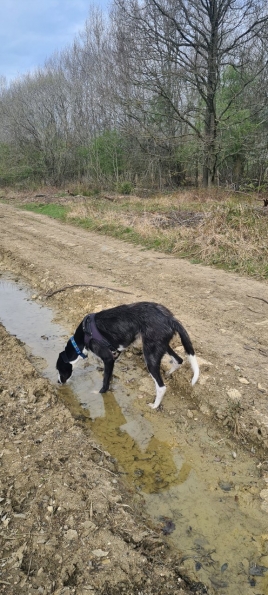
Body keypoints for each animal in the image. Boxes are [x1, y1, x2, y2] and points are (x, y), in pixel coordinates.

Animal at [56, 302, 199, 410]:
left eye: (58, 369)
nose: (58, 382)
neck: (83, 338)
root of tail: (170, 318)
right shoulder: (113, 357)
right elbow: (108, 376)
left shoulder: (108, 358)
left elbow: (104, 381)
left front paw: (100, 392)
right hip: (161, 345)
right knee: (179, 360)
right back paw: (169, 373)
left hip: (150, 355)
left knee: (161, 387)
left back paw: (154, 405)